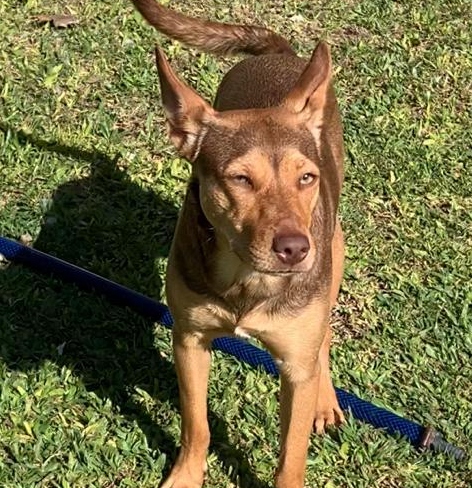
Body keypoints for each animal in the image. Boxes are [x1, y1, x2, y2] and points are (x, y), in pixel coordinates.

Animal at [131, 0, 344, 488]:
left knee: (323, 335)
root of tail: (280, 54)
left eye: (306, 178)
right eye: (241, 180)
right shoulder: (190, 340)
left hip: (336, 250)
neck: (249, 281)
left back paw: (324, 396)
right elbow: (196, 426)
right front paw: (186, 476)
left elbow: (291, 456)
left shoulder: (294, 368)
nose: (295, 249)